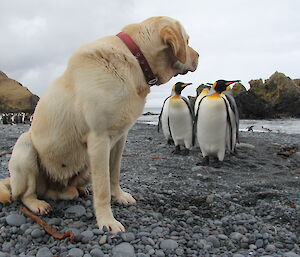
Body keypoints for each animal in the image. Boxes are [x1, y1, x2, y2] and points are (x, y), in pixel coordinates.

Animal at [0, 16, 198, 232]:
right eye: (187, 41)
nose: (198, 55)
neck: (135, 58)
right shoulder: (99, 138)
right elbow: (102, 187)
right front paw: (107, 221)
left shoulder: (119, 139)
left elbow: (114, 173)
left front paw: (119, 196)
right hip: (26, 147)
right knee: (24, 194)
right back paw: (37, 204)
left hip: (85, 167)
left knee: (63, 191)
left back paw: (76, 191)